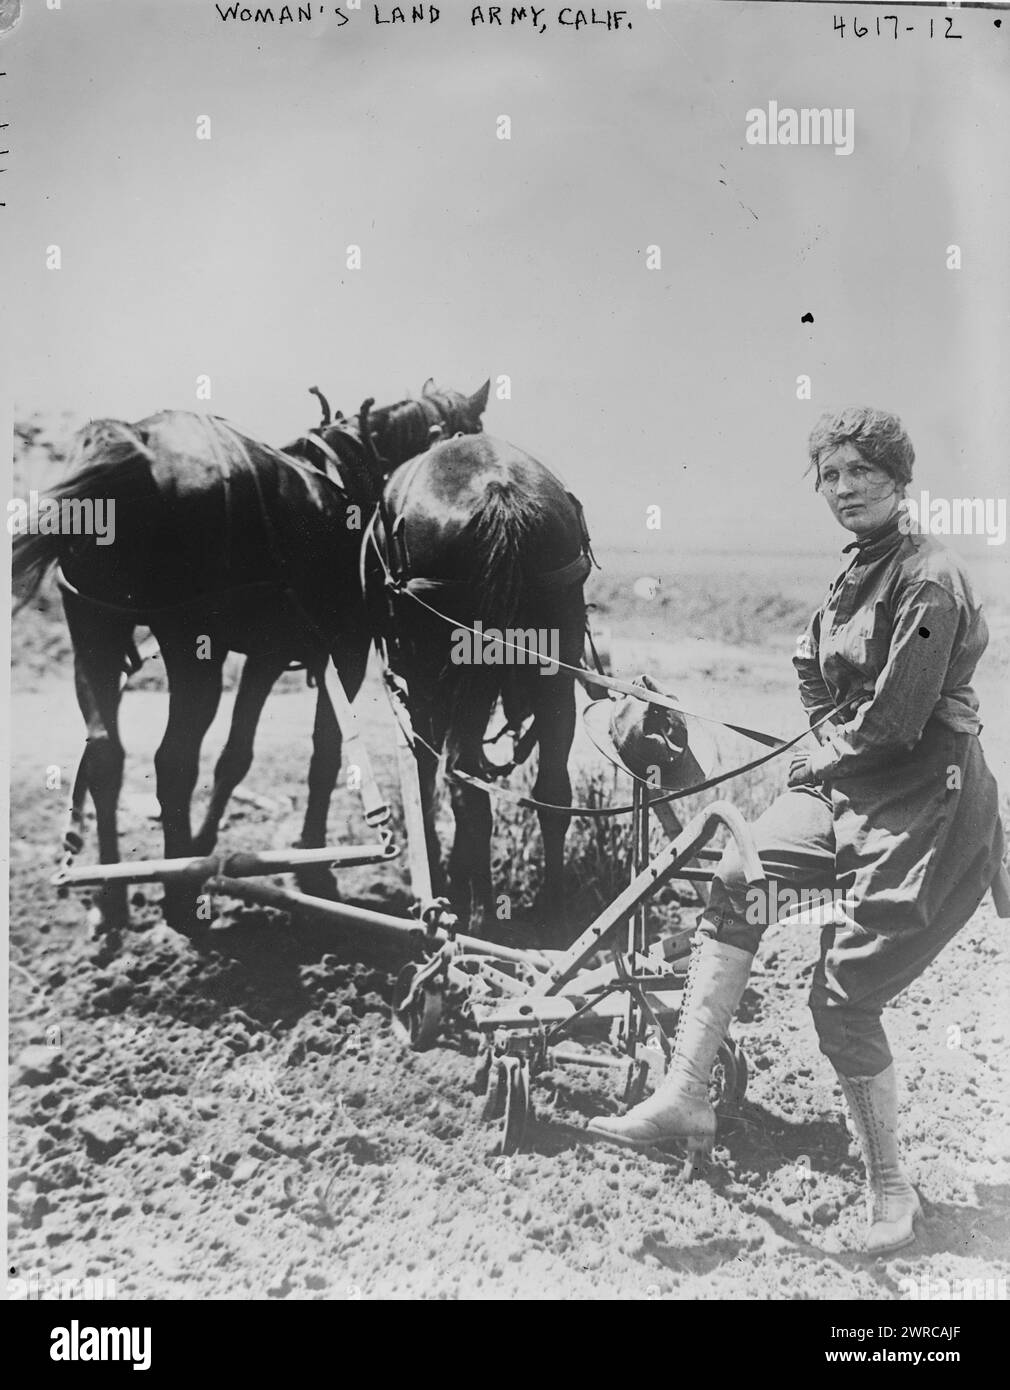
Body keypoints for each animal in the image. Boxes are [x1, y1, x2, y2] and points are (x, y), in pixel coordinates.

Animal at [12, 375, 489, 939]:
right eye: (473, 433)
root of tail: (137, 442)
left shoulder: (269, 656)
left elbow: (235, 758)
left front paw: (203, 851)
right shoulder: (344, 650)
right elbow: (325, 755)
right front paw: (315, 872)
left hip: (93, 630)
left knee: (108, 755)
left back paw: (113, 899)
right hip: (192, 650)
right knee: (172, 760)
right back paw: (179, 902)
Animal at [363, 428, 597, 945]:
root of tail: (498, 494)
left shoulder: (421, 689)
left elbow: (426, 774)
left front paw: (437, 877)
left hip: (442, 678)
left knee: (465, 788)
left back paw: (479, 917)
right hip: (557, 677)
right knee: (551, 793)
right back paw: (554, 917)